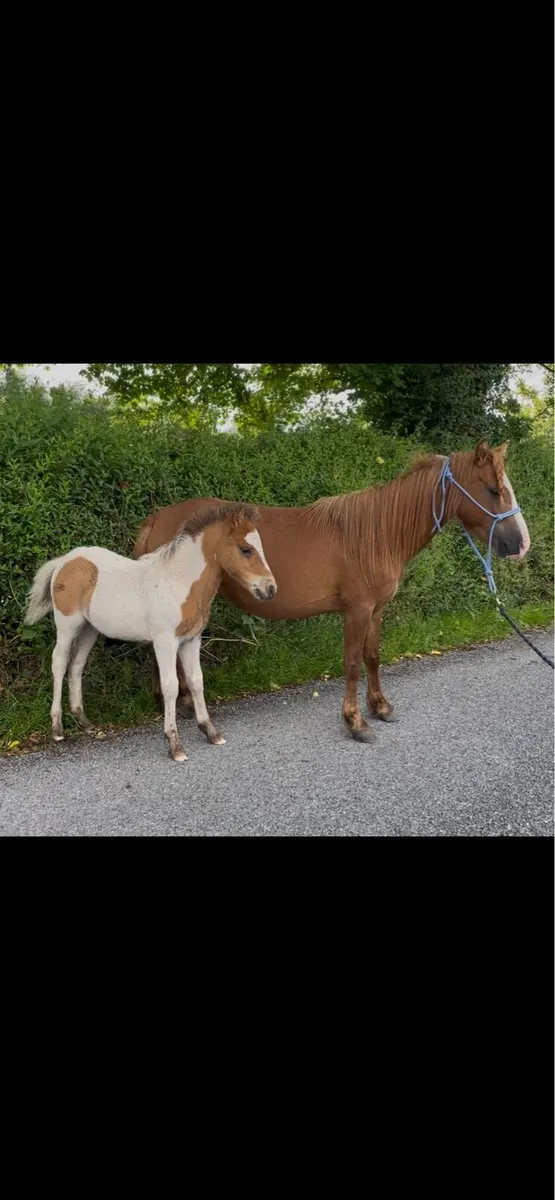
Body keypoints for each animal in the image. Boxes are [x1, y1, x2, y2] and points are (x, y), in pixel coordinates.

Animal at [25, 504, 276, 761]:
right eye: (245, 549)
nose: (270, 589)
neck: (179, 583)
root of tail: (64, 561)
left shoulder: (191, 640)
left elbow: (196, 681)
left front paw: (211, 732)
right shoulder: (165, 642)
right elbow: (171, 686)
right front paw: (174, 745)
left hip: (89, 629)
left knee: (76, 665)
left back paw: (85, 722)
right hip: (67, 625)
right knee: (59, 663)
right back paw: (57, 729)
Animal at [134, 440, 530, 744]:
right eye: (493, 489)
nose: (520, 544)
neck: (378, 532)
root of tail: (158, 518)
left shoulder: (376, 610)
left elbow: (372, 657)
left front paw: (380, 707)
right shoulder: (357, 610)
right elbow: (353, 664)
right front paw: (355, 722)